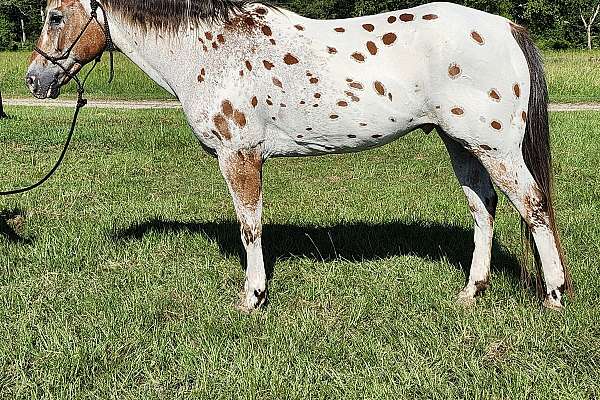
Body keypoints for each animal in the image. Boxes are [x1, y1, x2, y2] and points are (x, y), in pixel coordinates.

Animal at [27, 0, 572, 312]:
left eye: (55, 16)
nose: (34, 80)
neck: (210, 48)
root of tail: (506, 27)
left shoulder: (240, 155)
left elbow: (250, 227)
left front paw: (252, 298)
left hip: (496, 148)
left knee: (535, 207)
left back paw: (554, 298)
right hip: (461, 143)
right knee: (484, 209)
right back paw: (470, 292)